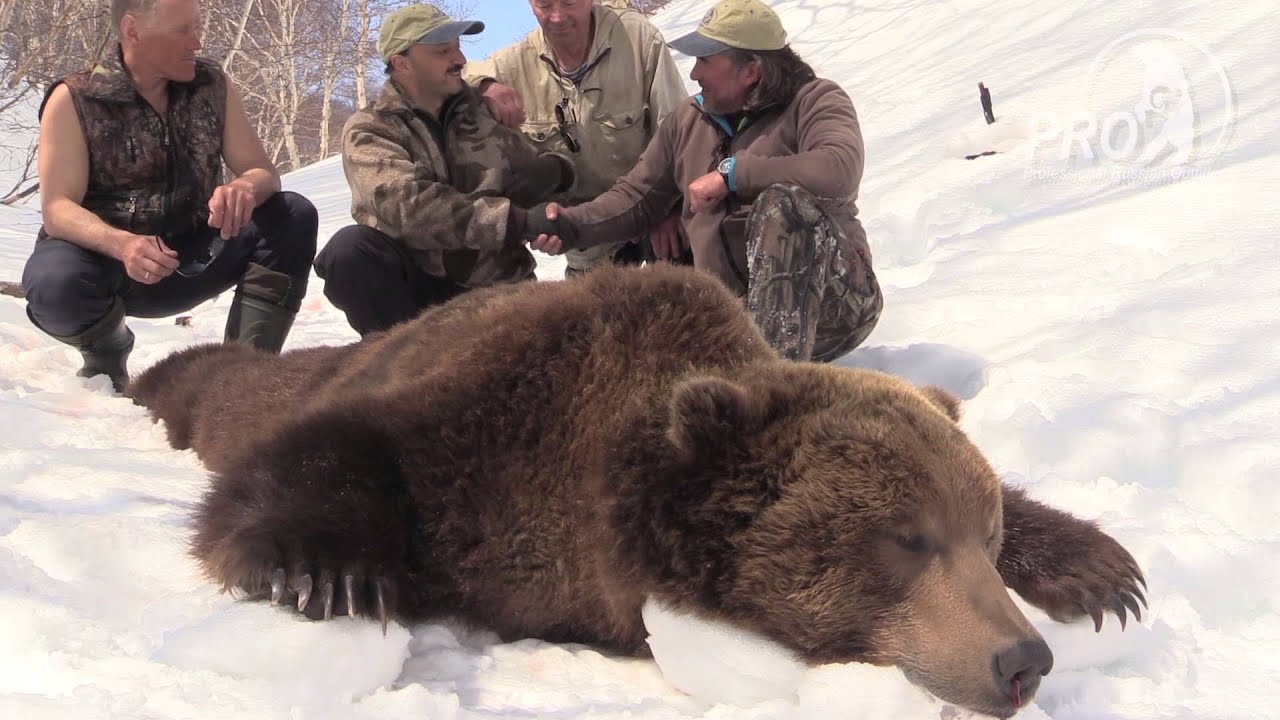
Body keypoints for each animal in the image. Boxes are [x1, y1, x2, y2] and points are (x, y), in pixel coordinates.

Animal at [129, 263, 1146, 717]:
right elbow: (333, 458)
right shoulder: (489, 427)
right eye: (906, 536)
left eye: (985, 531)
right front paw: (324, 572)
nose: (1022, 660)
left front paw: (1103, 574)